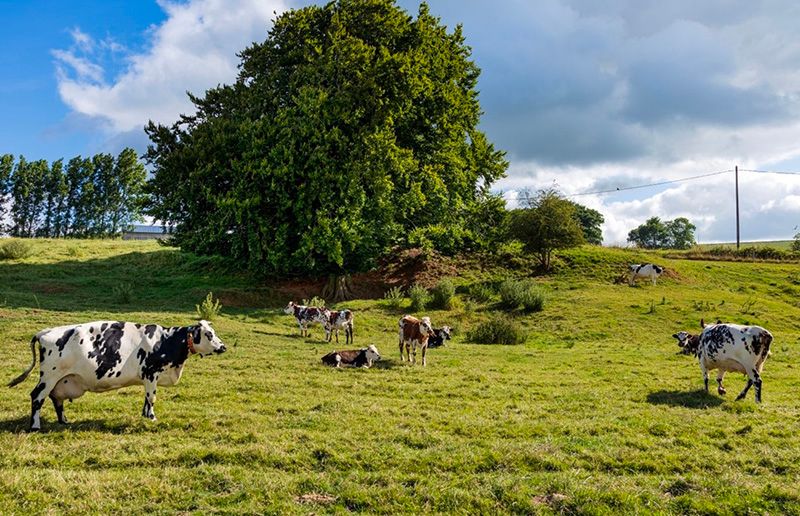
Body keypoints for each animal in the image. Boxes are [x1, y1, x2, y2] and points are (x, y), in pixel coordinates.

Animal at [8, 320, 227, 431]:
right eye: (208, 334)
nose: (223, 347)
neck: (166, 340)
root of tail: (44, 332)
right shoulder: (151, 373)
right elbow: (151, 398)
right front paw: (152, 417)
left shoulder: (148, 377)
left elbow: (146, 398)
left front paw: (144, 415)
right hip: (49, 376)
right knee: (37, 397)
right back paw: (35, 426)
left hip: (60, 379)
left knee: (55, 399)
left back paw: (64, 420)